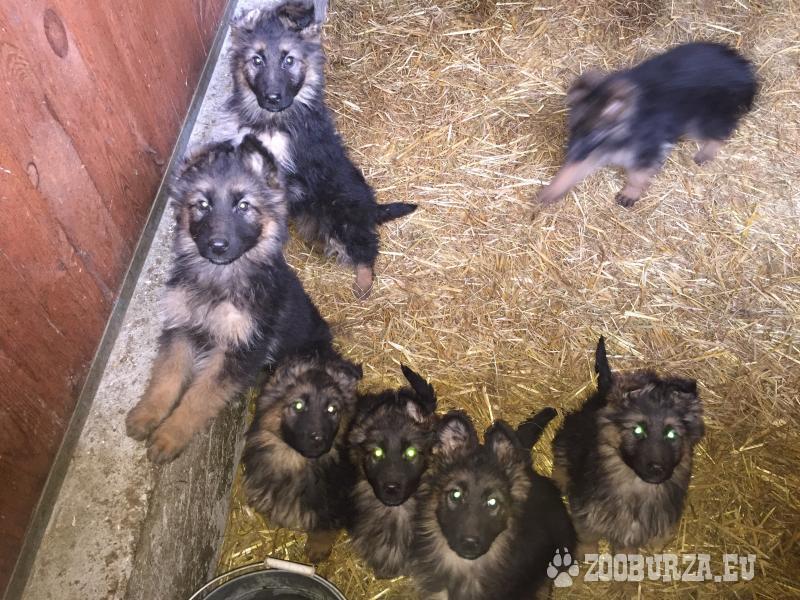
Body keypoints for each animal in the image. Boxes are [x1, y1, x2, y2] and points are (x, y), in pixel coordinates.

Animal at [125, 136, 331, 463]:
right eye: (202, 205)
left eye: (243, 206)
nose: (217, 246)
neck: (217, 280)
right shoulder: (180, 329)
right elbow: (165, 376)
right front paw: (148, 414)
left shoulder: (239, 351)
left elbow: (199, 398)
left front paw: (170, 435)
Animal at [227, 0, 417, 298]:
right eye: (257, 60)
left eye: (288, 60)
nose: (272, 98)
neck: (271, 122)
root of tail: (372, 209)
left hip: (343, 215)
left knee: (367, 249)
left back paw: (363, 283)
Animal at [242, 349, 362, 562]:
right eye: (298, 406)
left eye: (332, 409)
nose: (319, 439)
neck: (298, 463)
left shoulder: (335, 504)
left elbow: (324, 528)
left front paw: (317, 549)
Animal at [536, 42, 757, 207]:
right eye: (574, 129)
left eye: (593, 134)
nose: (569, 154)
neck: (625, 128)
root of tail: (742, 67)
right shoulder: (595, 152)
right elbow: (574, 170)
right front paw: (554, 188)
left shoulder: (646, 151)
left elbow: (637, 175)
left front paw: (630, 193)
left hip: (702, 119)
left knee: (722, 132)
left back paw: (707, 152)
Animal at [552, 337, 705, 552]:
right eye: (638, 430)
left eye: (671, 434)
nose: (657, 469)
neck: (638, 488)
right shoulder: (586, 517)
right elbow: (587, 543)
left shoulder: (630, 536)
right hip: (568, 439)